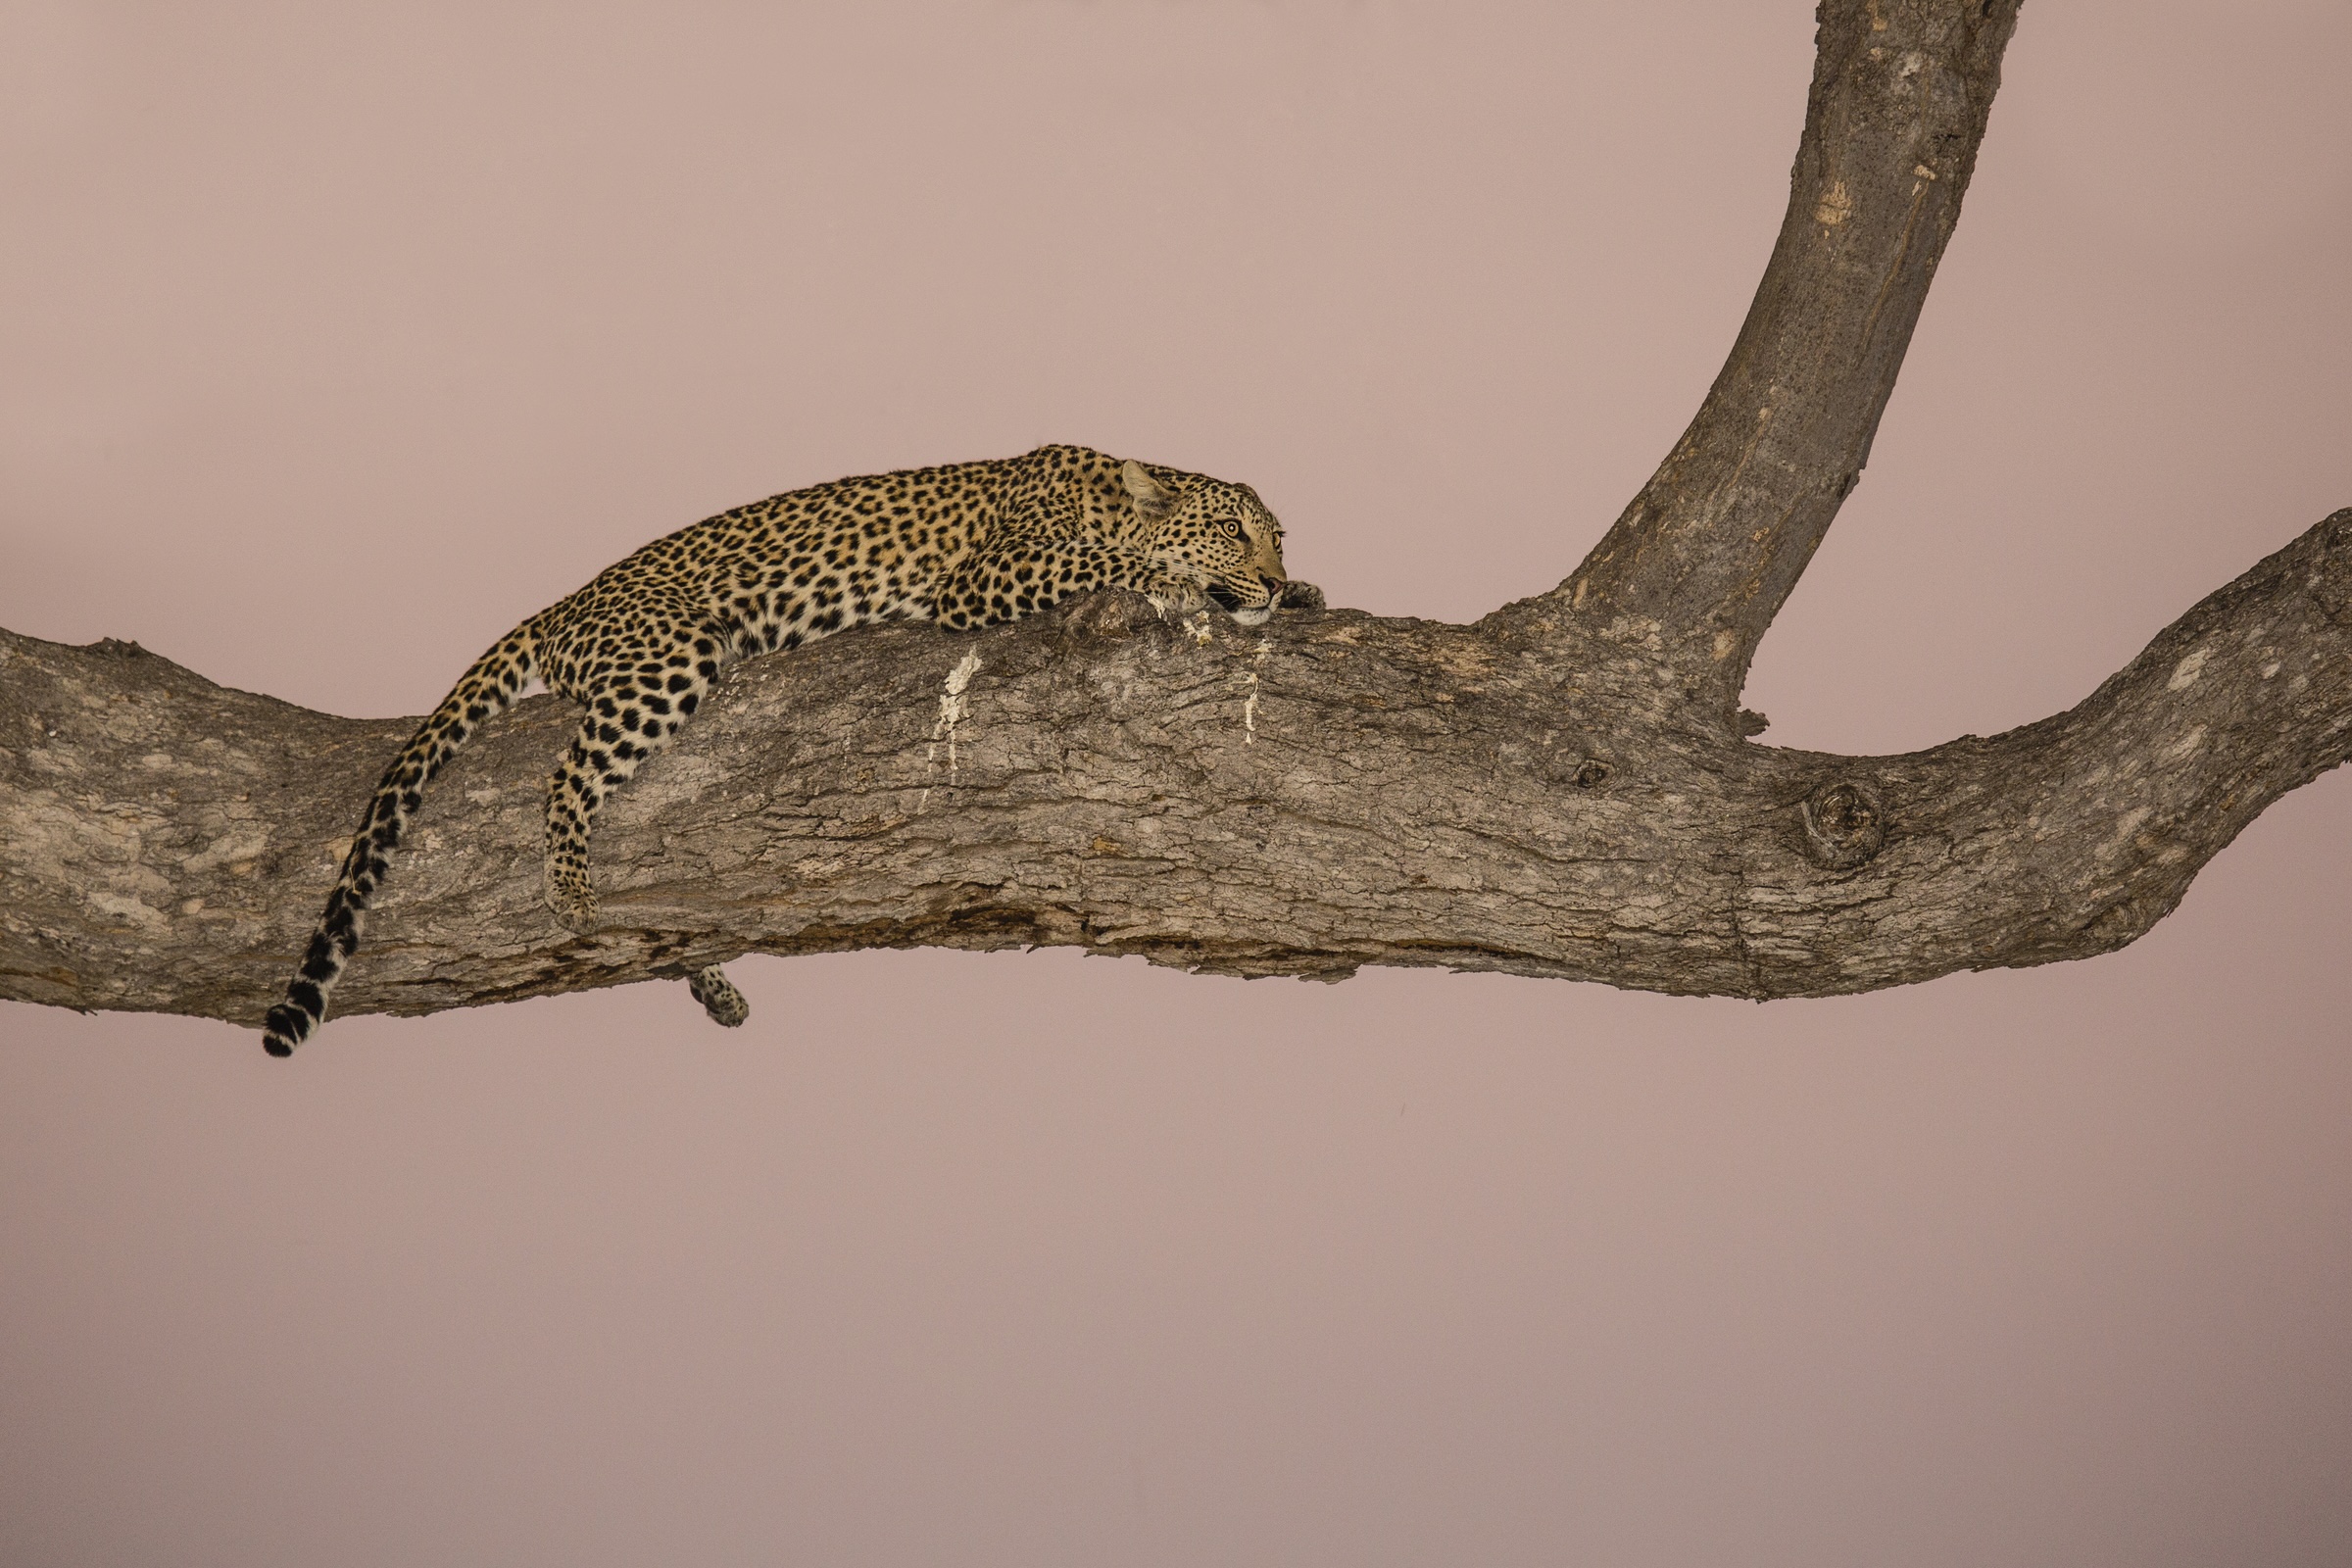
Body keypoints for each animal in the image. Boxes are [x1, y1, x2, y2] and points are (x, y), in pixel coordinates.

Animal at [260, 443, 1297, 1056]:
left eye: (1280, 536)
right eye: (1231, 529)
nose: (1279, 584)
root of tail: (558, 607)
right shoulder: (983, 578)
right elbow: (1115, 561)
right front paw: (1185, 579)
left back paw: (712, 985)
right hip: (669, 654)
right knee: (564, 779)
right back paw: (572, 890)